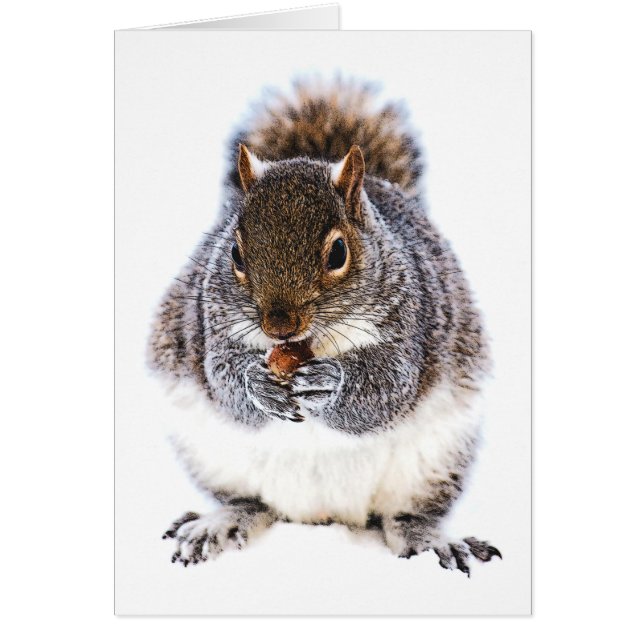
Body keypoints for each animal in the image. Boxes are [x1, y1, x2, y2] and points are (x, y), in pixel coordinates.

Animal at [149, 79, 501, 575]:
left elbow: (387, 391)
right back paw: (218, 523)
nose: (278, 326)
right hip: (211, 454)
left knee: (406, 515)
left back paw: (431, 541)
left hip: (434, 461)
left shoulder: (411, 325)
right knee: (250, 502)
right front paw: (257, 383)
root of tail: (322, 515)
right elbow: (223, 381)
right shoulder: (209, 325)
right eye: (235, 253)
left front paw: (330, 384)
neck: (308, 343)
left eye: (338, 253)